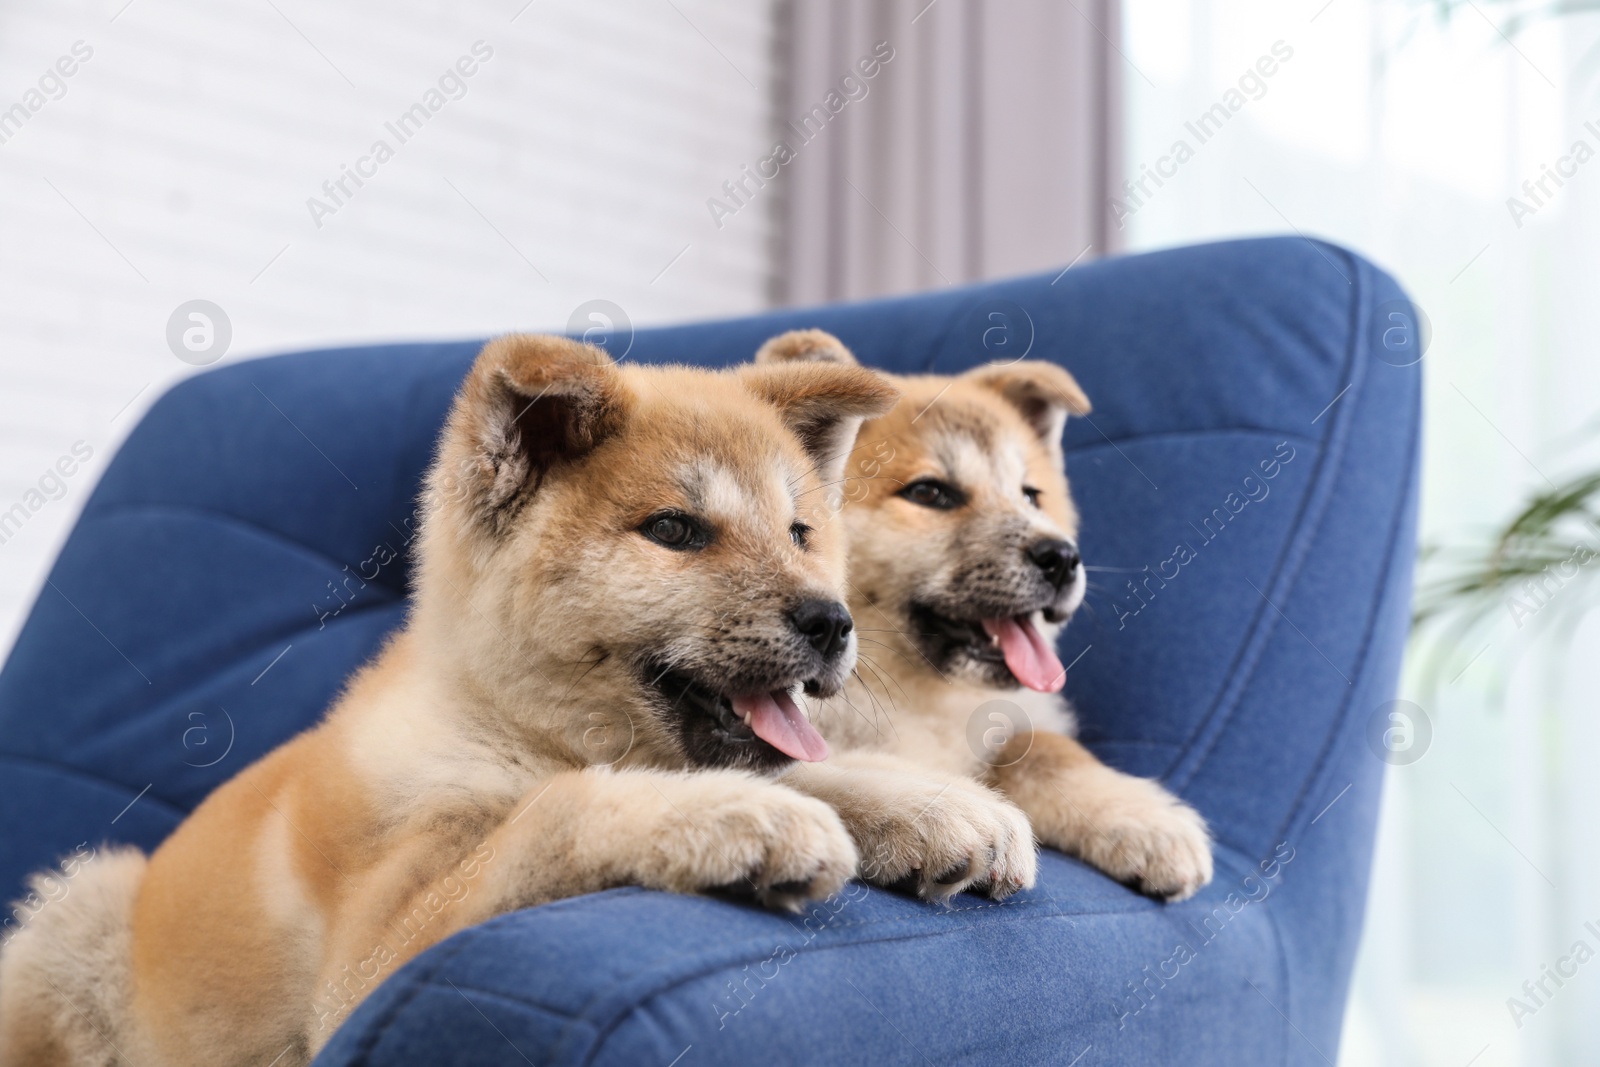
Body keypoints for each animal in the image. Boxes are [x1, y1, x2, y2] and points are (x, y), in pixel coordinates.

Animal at [0, 337, 908, 1067]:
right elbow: (554, 812)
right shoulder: (369, 961)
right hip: (87, 901)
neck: (519, 730)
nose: (833, 622)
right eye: (675, 531)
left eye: (800, 533)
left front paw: (922, 811)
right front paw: (736, 817)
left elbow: (810, 768)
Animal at [761, 329, 1209, 908]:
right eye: (929, 493)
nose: (1061, 557)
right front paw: (939, 811)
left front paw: (1145, 819)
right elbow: (812, 774)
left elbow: (1047, 751)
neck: (918, 700)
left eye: (1031, 496)